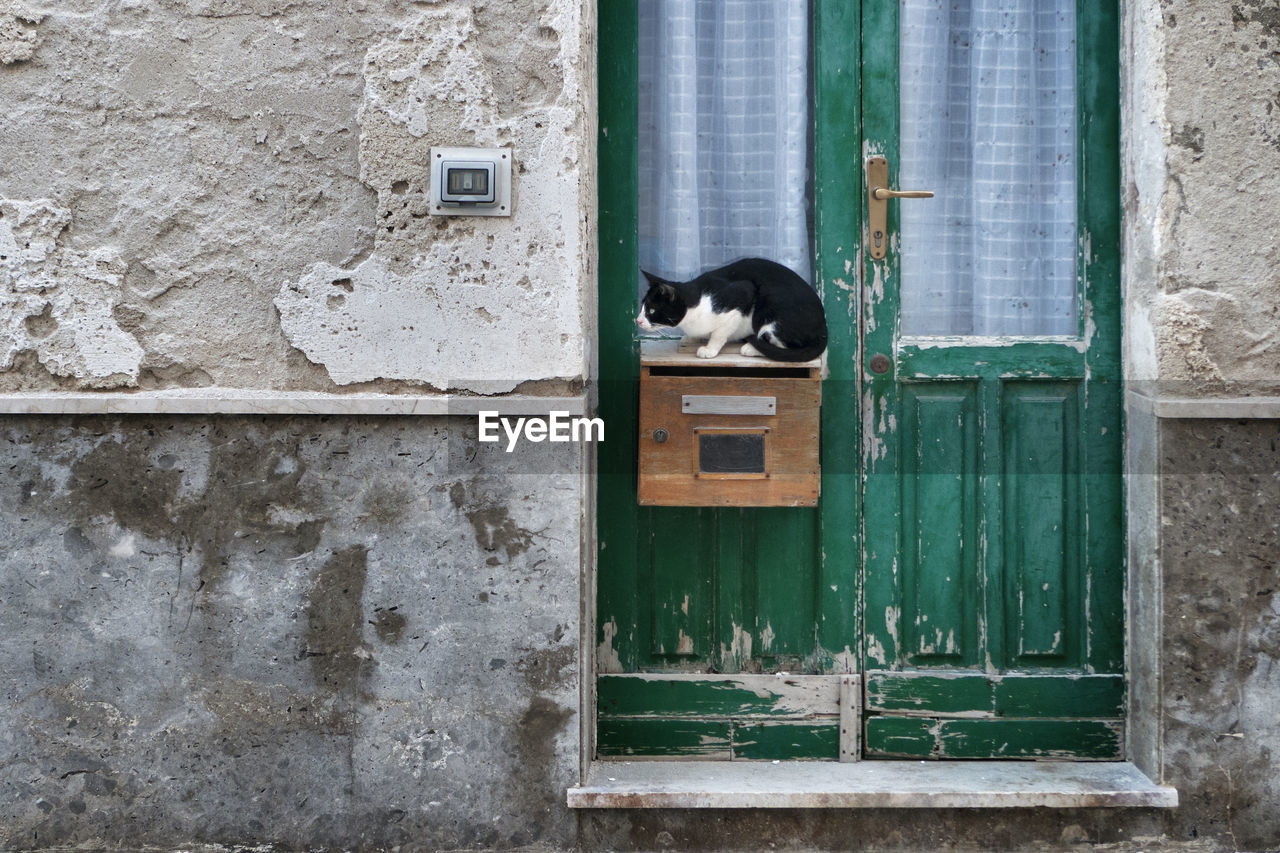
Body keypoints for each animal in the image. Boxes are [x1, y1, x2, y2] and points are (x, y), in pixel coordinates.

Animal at [632, 252, 829, 358]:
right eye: (642, 307)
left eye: (652, 310)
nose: (638, 321)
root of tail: (823, 329)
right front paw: (691, 338)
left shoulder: (742, 294)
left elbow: (719, 333)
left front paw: (709, 349)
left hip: (773, 308)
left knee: (786, 345)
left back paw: (750, 348)